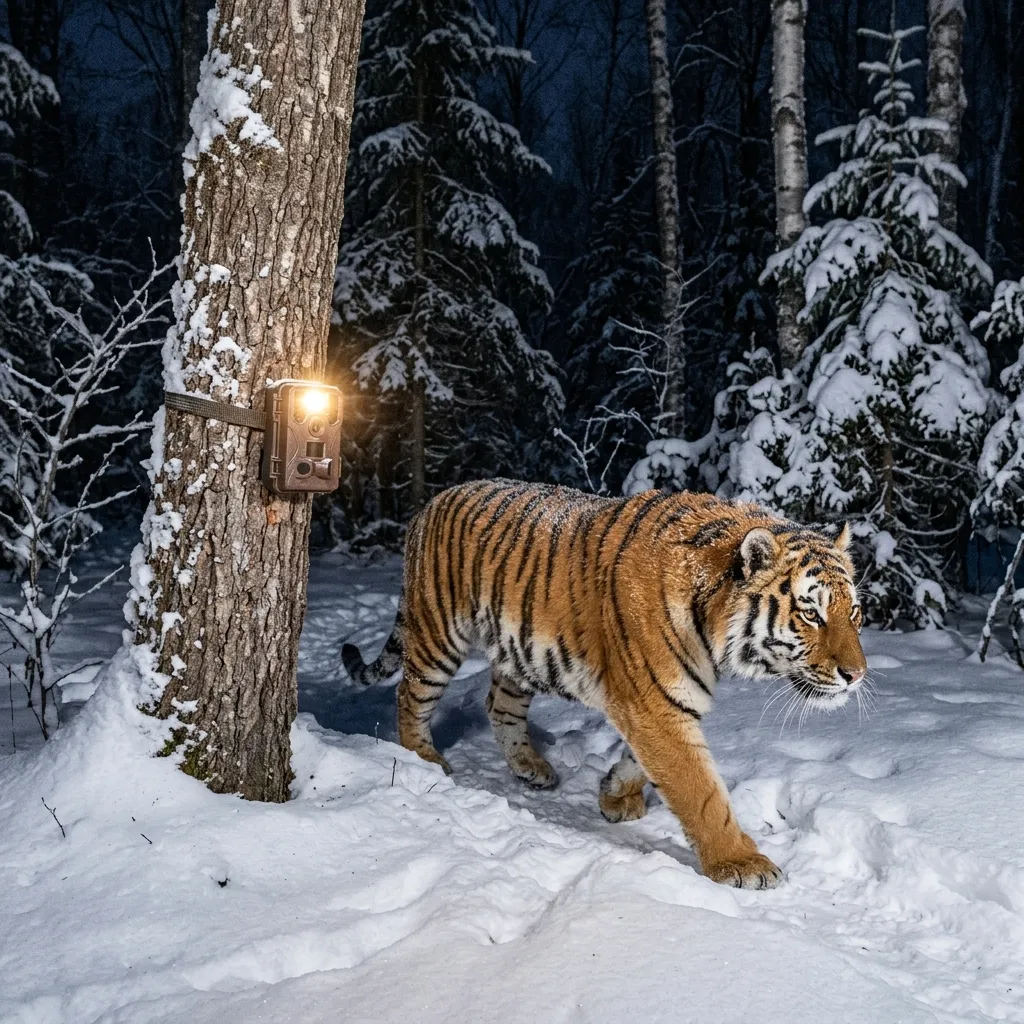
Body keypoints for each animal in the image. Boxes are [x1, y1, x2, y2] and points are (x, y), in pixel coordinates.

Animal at [342, 479, 867, 889]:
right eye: (811, 614)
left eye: (855, 613)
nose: (856, 675)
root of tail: (432, 501)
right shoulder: (655, 704)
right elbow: (700, 789)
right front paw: (742, 863)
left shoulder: (660, 703)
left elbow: (650, 763)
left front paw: (616, 795)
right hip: (438, 633)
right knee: (410, 693)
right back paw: (423, 758)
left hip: (517, 653)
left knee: (498, 704)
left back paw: (532, 768)